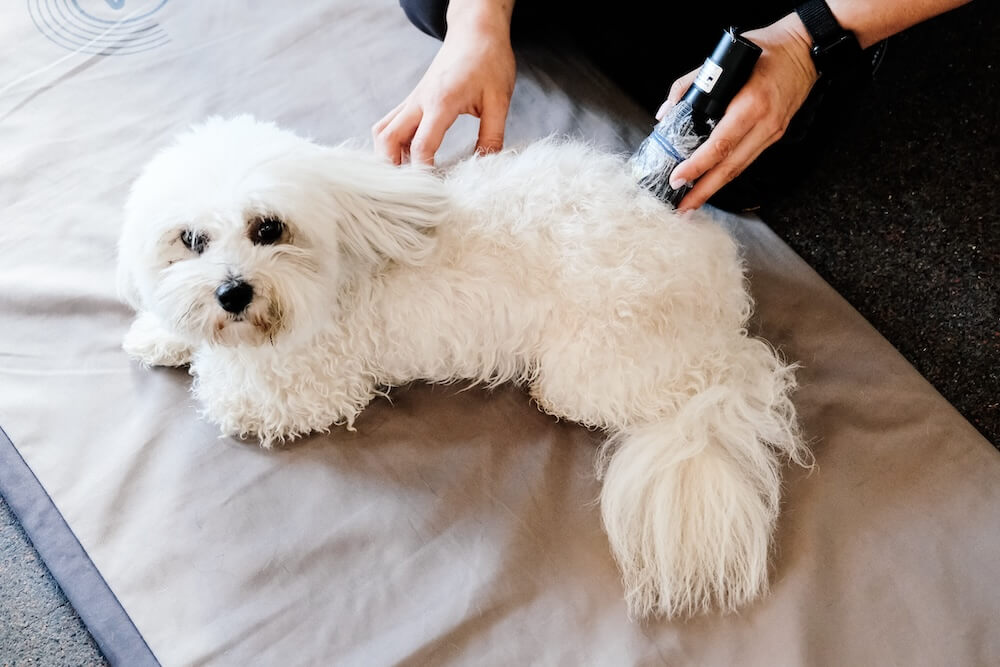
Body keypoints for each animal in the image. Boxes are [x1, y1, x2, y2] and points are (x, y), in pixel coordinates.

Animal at [119, 116, 812, 620]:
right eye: (190, 241)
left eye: (268, 228)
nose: (232, 293)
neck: (342, 263)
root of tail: (724, 305)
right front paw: (161, 331)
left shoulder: (309, 389)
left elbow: (226, 391)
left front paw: (203, 357)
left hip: (597, 367)